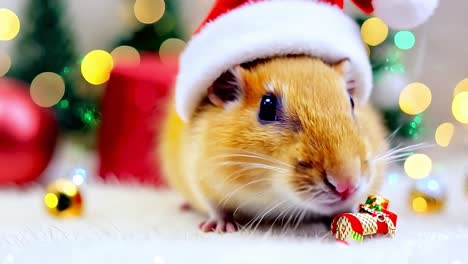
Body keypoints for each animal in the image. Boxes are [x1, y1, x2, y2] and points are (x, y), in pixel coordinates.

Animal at [158, 55, 388, 233]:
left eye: (351, 101)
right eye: (266, 107)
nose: (346, 185)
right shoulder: (201, 175)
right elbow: (216, 208)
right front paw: (222, 227)